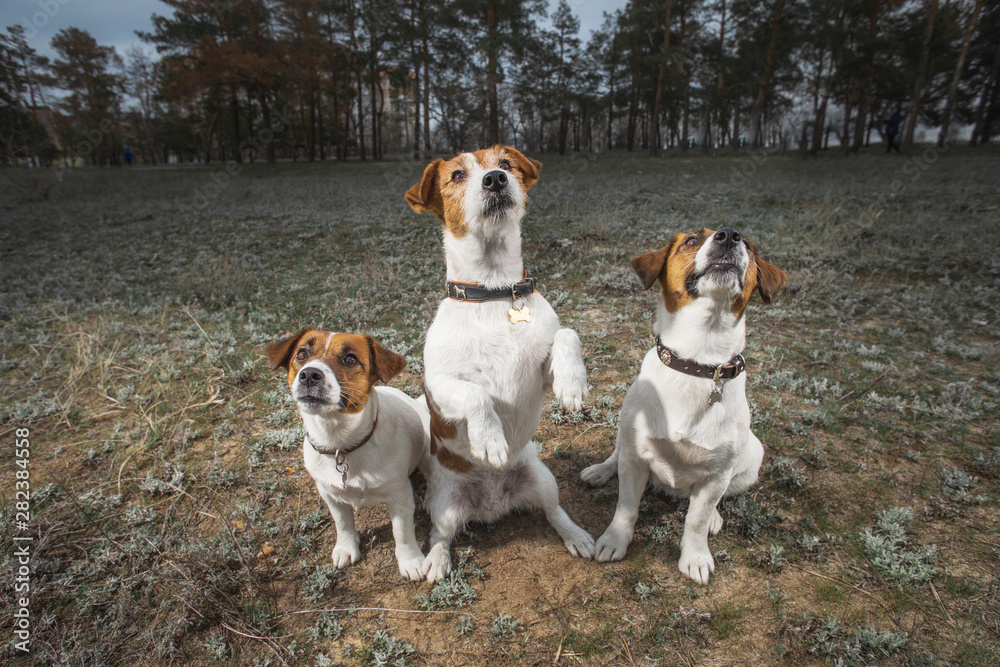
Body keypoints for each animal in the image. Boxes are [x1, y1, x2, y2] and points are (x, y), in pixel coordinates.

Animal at [270, 332, 430, 580]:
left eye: (350, 359)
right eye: (302, 353)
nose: (309, 375)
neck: (341, 445)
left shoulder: (400, 495)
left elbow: (402, 532)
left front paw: (410, 560)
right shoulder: (330, 495)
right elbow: (342, 523)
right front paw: (346, 547)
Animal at [404, 147, 592, 584]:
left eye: (505, 164)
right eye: (457, 175)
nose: (494, 180)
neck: (492, 291)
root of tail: (491, 506)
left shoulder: (540, 372)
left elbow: (567, 334)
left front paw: (572, 383)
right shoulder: (440, 385)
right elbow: (475, 394)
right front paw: (489, 439)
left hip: (542, 478)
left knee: (554, 511)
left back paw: (576, 535)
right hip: (443, 503)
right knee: (441, 534)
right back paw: (436, 561)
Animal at [580, 228, 788, 584]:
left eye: (747, 245)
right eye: (692, 240)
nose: (729, 236)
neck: (697, 361)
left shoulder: (717, 475)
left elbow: (696, 520)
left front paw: (695, 557)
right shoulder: (636, 458)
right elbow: (626, 508)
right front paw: (614, 540)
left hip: (750, 461)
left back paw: (715, 517)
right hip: (625, 432)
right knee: (616, 455)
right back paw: (600, 471)